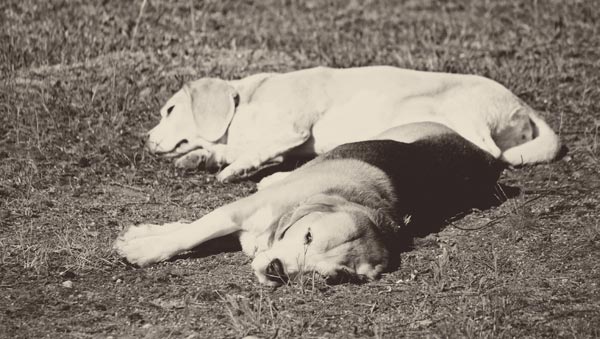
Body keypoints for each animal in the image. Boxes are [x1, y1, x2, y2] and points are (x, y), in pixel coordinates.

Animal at [116, 123, 506, 286]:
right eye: (307, 236)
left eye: (330, 277)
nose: (277, 270)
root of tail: (486, 156)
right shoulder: (238, 211)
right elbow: (190, 232)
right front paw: (144, 248)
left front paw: (142, 240)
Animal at [148, 66, 560, 183]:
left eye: (170, 110)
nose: (145, 140)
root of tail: (522, 105)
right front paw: (201, 158)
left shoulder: (291, 129)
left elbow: (246, 150)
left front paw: (233, 165)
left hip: (457, 110)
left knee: (490, 151)